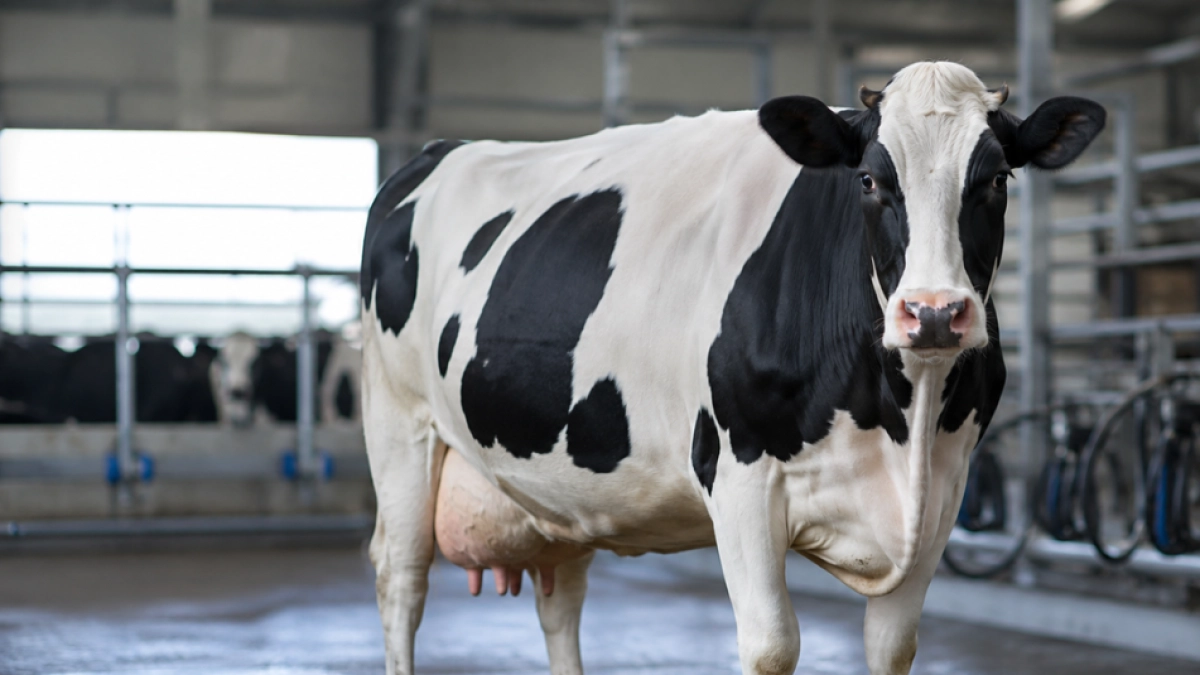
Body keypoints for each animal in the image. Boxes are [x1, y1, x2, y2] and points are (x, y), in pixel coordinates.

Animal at [359, 62, 1105, 675]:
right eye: (869, 180)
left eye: (997, 179)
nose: (934, 313)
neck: (902, 419)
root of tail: (441, 149)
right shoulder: (740, 475)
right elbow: (772, 645)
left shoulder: (944, 492)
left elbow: (892, 649)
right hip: (399, 424)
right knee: (402, 579)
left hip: (564, 487)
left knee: (561, 601)